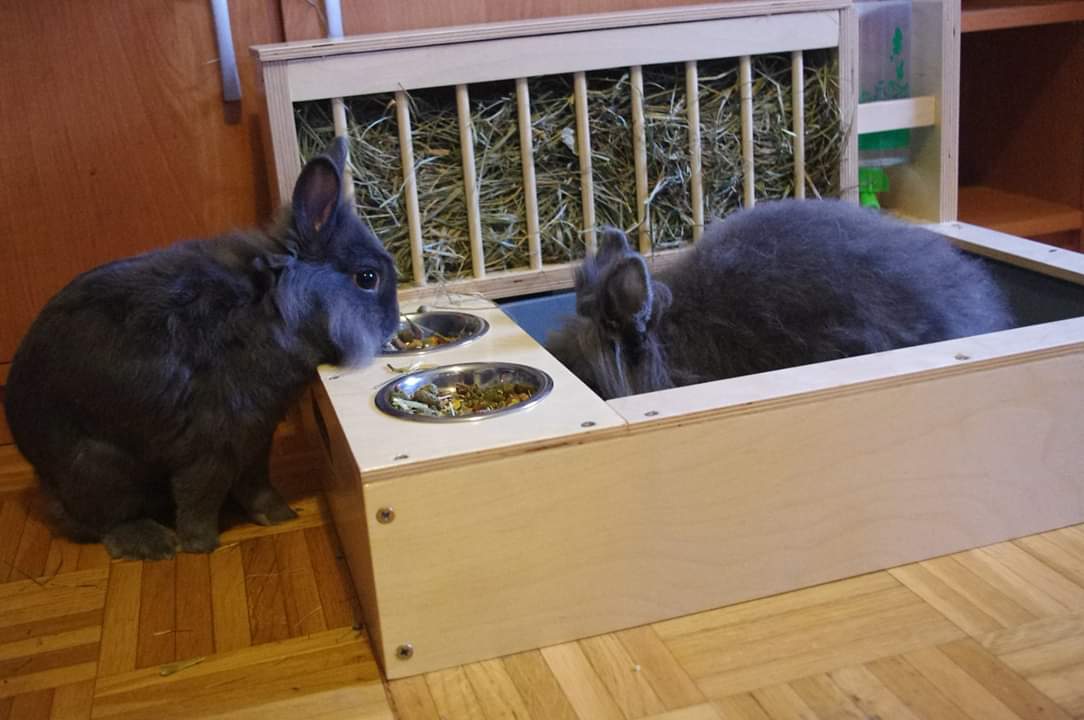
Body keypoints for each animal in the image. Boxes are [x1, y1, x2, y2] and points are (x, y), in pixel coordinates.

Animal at [3, 137, 399, 560]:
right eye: (367, 278)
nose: (392, 326)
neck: (269, 307)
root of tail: (41, 472)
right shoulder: (212, 441)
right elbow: (201, 495)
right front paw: (200, 545)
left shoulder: (255, 436)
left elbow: (255, 483)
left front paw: (279, 515)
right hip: (99, 469)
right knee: (104, 522)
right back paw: (155, 543)